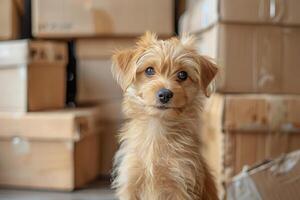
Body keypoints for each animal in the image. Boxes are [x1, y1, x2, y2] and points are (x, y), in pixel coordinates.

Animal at [111, 32, 219, 199]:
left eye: (182, 74)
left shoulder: (181, 183)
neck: (157, 129)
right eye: (149, 70)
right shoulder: (130, 183)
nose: (165, 94)